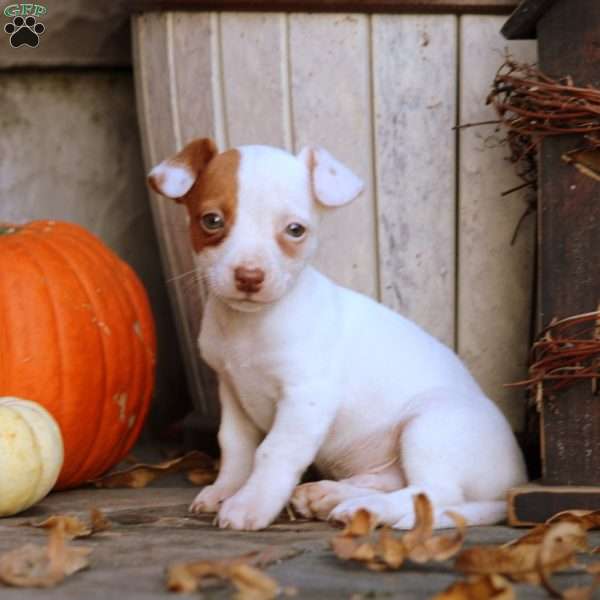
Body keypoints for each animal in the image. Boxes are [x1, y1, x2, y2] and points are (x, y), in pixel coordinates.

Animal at [149, 137, 524, 528]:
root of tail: (515, 483)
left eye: (295, 230)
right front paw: (225, 490)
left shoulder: (307, 397)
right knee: (396, 482)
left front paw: (249, 504)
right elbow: (235, 447)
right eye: (212, 221)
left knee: (434, 493)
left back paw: (366, 508)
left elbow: (273, 451)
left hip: (432, 422)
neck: (249, 326)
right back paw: (329, 495)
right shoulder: (232, 392)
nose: (249, 277)